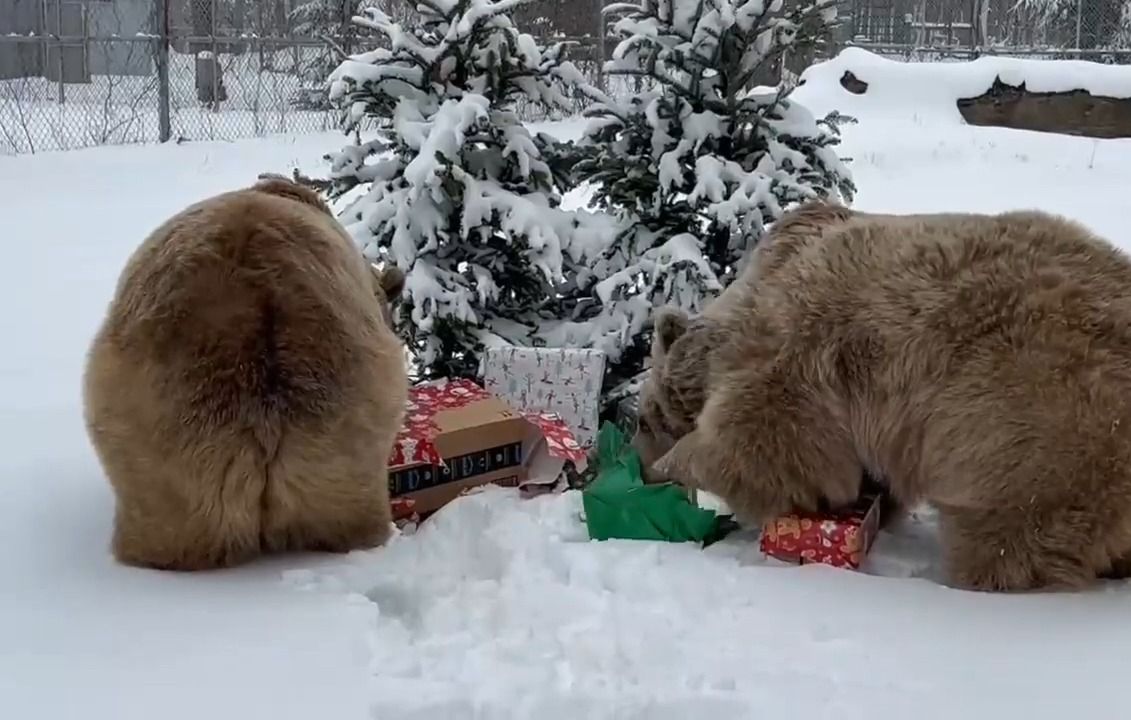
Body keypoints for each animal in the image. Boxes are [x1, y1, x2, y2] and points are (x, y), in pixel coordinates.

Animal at [637, 201, 1131, 587]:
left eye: (642, 420)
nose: (641, 466)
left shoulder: (796, 358)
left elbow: (765, 444)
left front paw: (678, 464)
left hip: (1035, 430)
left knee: (1008, 542)